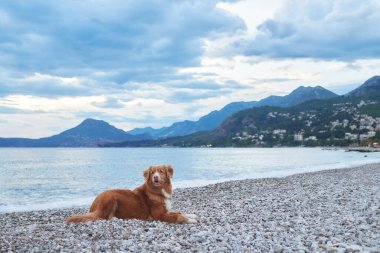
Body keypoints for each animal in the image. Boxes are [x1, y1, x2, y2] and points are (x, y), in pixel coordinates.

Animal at [65, 165, 197, 224]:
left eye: (161, 171)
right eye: (152, 172)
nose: (155, 177)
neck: (158, 191)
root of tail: (94, 202)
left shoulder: (166, 210)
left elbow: (180, 211)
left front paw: (192, 215)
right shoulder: (159, 215)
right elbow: (178, 216)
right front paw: (190, 220)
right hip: (111, 197)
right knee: (103, 217)